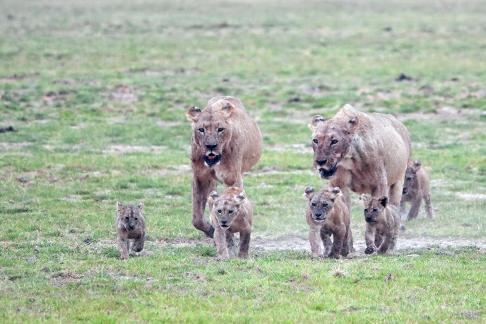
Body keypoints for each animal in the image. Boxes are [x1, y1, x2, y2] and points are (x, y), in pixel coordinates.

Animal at [186, 96, 262, 238]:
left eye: (220, 129)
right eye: (201, 130)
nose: (211, 146)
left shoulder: (232, 178)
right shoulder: (200, 177)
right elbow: (196, 218)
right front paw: (210, 230)